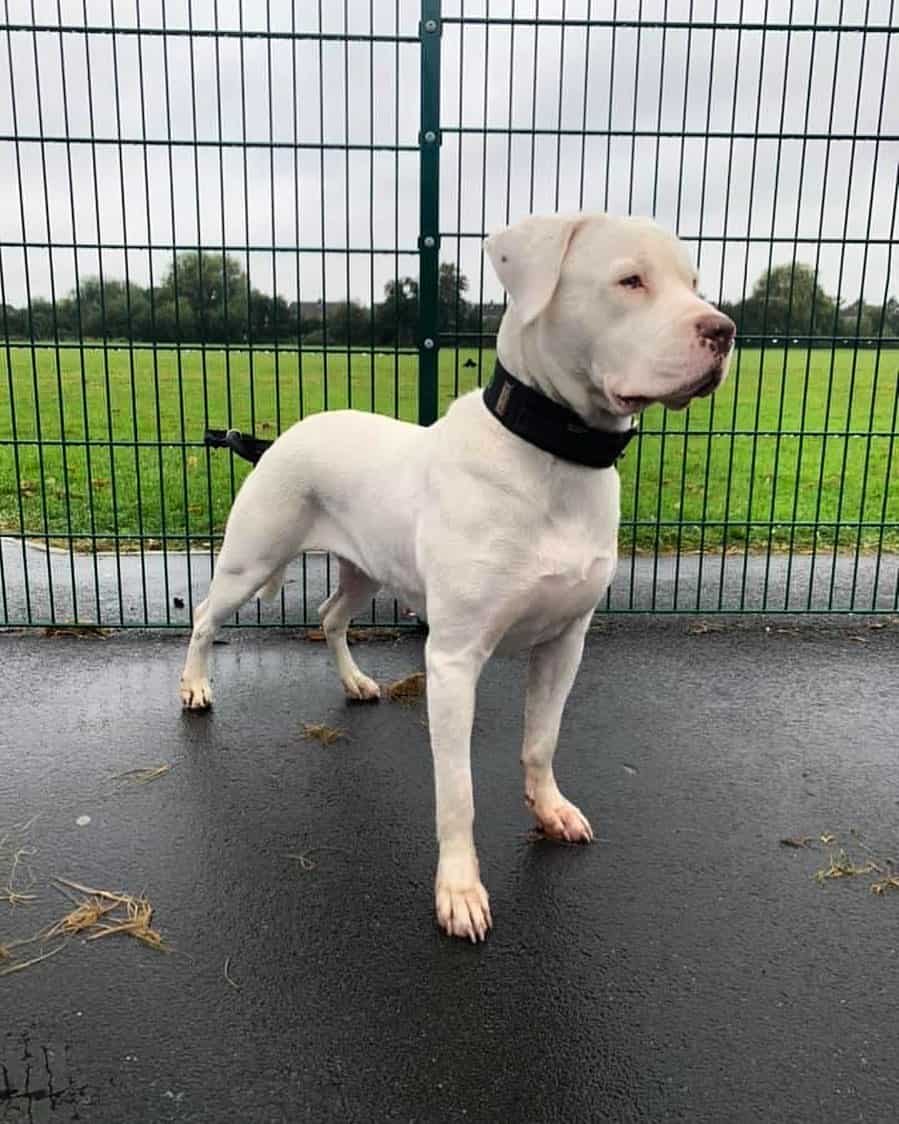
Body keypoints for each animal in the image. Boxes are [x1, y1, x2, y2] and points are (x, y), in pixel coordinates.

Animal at [178, 211, 732, 939]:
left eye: (694, 283)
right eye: (629, 280)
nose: (723, 331)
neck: (551, 455)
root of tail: (282, 436)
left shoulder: (565, 644)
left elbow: (540, 742)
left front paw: (549, 810)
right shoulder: (452, 661)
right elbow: (458, 791)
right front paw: (460, 891)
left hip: (364, 569)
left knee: (329, 616)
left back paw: (355, 682)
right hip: (252, 559)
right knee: (203, 617)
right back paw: (194, 688)